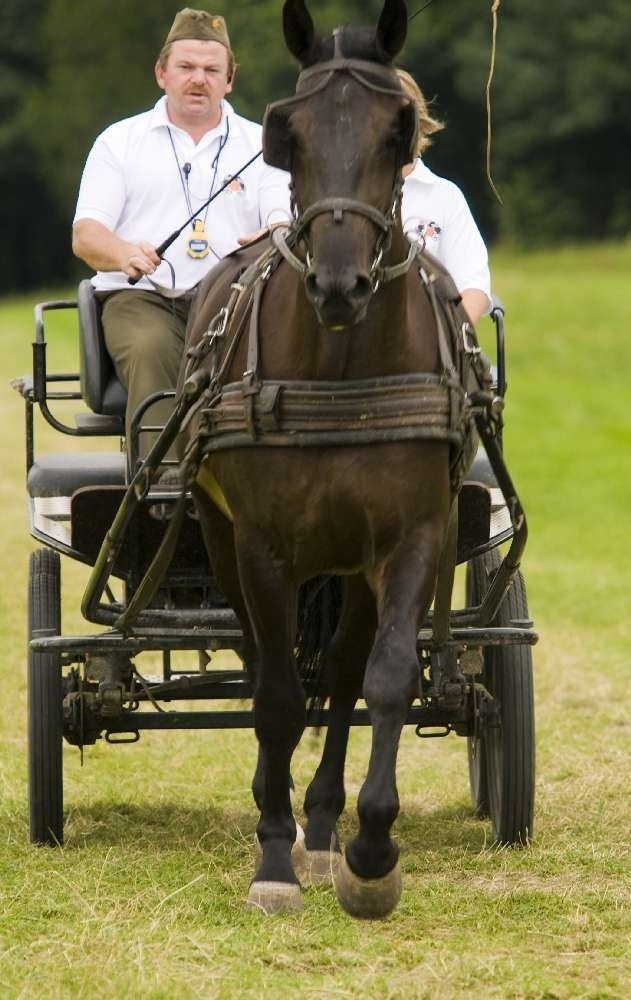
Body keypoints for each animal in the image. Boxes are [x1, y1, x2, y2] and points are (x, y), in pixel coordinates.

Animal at [175, 0, 482, 916]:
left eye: (395, 131)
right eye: (291, 135)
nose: (339, 285)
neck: (342, 366)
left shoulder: (412, 535)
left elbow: (382, 678)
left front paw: (369, 852)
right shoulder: (263, 547)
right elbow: (276, 696)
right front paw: (273, 859)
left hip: (351, 561)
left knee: (343, 672)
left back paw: (320, 823)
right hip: (222, 539)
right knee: (258, 663)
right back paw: (277, 816)